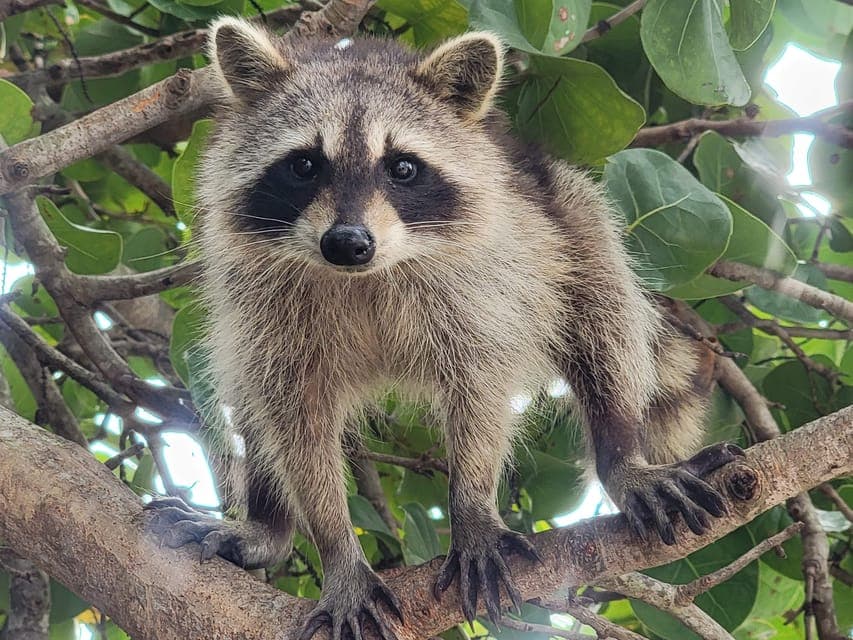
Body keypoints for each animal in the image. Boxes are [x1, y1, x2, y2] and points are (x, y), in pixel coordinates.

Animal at [147, 18, 744, 639]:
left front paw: (473, 507)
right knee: (248, 390)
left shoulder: (482, 283)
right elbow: (294, 417)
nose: (348, 242)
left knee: (604, 320)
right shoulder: (263, 302)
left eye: (403, 167)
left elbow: (480, 387)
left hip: (569, 214)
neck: (366, 275)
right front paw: (338, 549)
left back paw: (621, 454)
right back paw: (269, 525)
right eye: (305, 164)